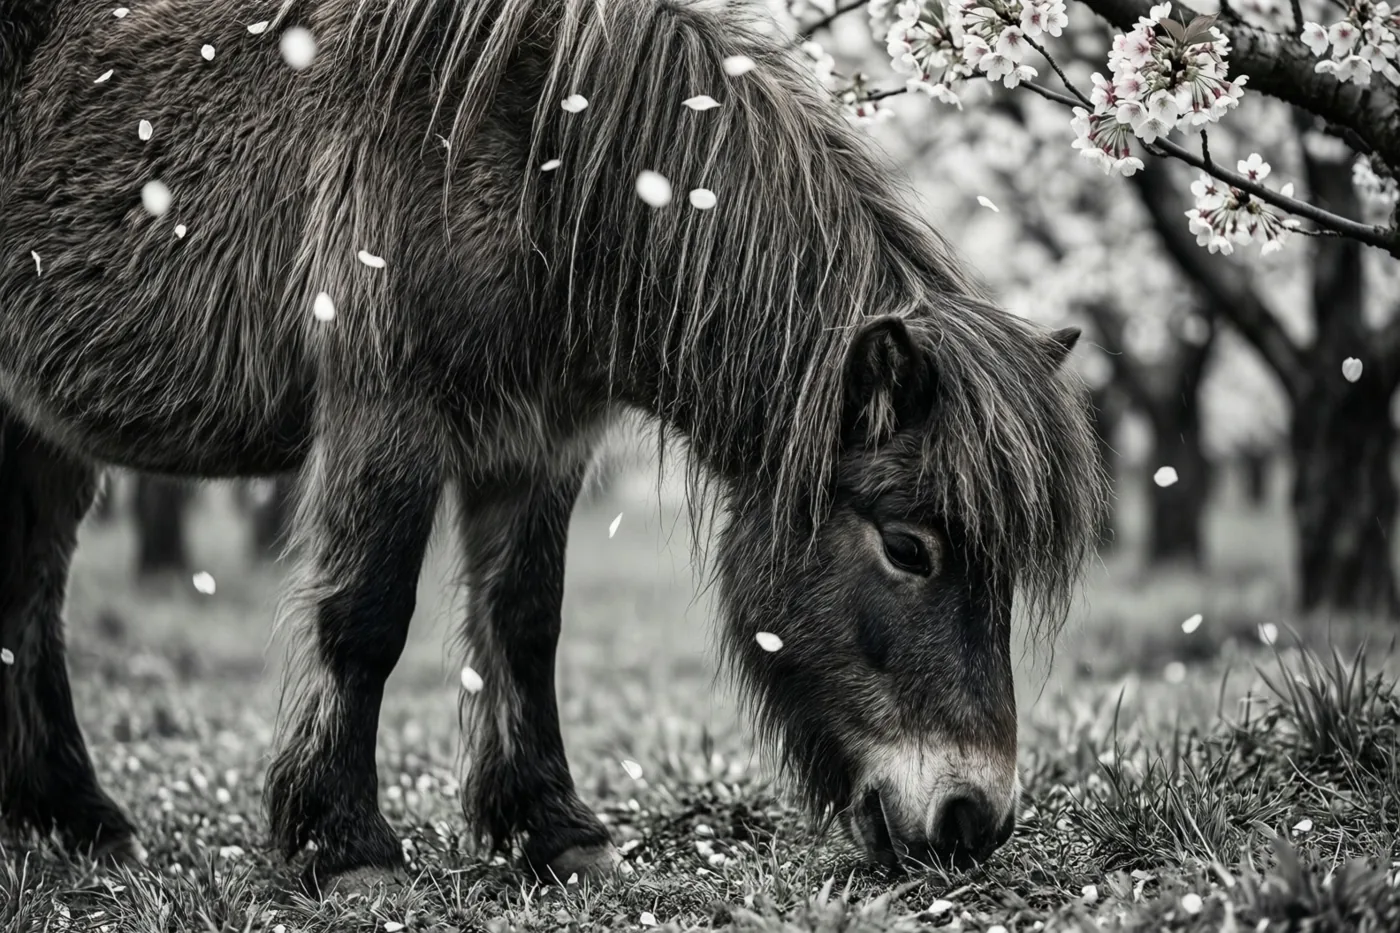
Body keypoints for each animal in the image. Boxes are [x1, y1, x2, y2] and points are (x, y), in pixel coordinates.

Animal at [0, 0, 1106, 890]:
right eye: (908, 547)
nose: (972, 819)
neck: (537, 152)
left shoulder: (537, 444)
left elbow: (526, 625)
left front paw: (549, 830)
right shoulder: (386, 414)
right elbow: (365, 620)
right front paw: (344, 847)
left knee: (33, 596)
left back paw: (72, 819)